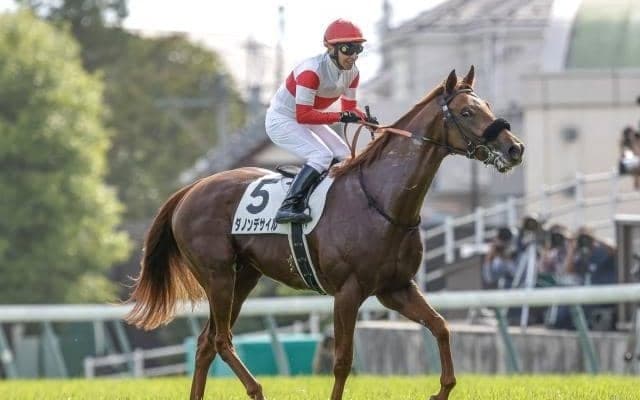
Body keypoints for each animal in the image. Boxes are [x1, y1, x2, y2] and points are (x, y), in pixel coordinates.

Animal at [125, 66, 524, 400]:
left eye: (488, 105)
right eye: (467, 112)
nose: (514, 148)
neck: (381, 201)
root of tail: (188, 191)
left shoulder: (396, 288)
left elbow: (441, 327)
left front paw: (441, 390)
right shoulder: (347, 292)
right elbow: (343, 360)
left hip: (245, 277)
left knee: (207, 341)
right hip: (218, 275)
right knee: (222, 339)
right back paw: (257, 390)